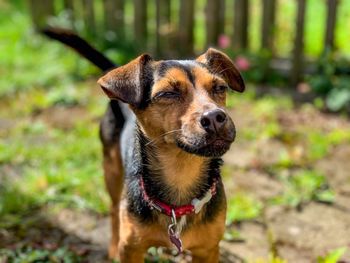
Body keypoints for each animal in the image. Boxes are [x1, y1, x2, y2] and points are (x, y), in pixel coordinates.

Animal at [42, 27, 245, 262]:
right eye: (168, 93)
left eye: (220, 87)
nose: (215, 117)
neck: (181, 175)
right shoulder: (132, 249)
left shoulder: (208, 250)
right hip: (111, 169)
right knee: (113, 209)